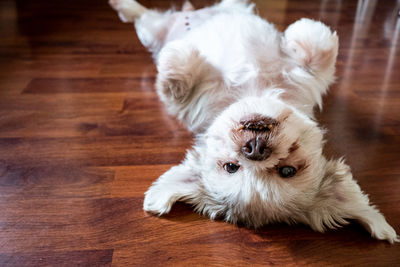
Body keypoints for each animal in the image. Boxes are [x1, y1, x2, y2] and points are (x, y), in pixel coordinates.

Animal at [110, 0, 400, 243]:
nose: (256, 149)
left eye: (287, 171)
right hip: (155, 28)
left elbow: (319, 48)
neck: (255, 91)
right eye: (230, 167)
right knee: (142, 15)